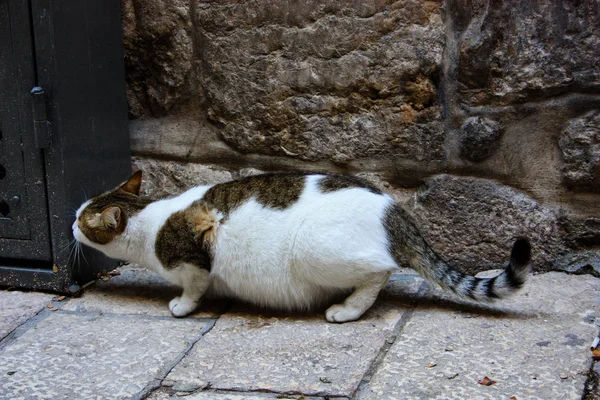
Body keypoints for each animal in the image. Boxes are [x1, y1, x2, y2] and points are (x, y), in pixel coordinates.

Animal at [74, 170, 528, 324]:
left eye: (81, 221)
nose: (68, 222)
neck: (150, 220)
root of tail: (395, 211)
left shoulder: (195, 257)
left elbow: (193, 286)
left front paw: (183, 306)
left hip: (313, 248)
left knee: (379, 272)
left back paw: (347, 308)